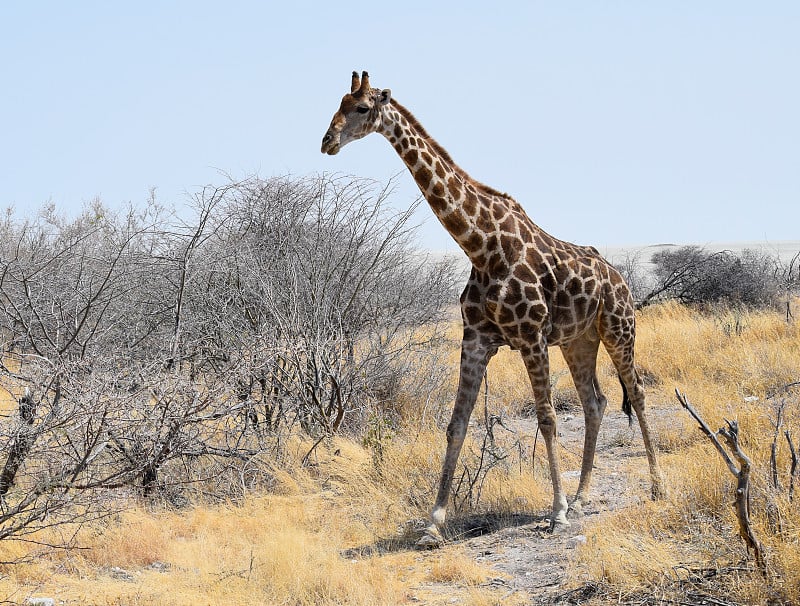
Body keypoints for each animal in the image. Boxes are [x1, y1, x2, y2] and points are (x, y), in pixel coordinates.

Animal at [322, 71, 664, 548]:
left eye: (362, 108)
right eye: (336, 104)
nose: (327, 141)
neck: (482, 247)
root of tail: (620, 278)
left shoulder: (531, 336)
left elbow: (547, 419)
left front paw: (556, 513)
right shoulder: (477, 339)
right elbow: (456, 424)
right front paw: (433, 523)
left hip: (618, 328)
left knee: (637, 392)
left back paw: (655, 488)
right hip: (578, 340)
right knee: (595, 401)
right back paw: (582, 498)